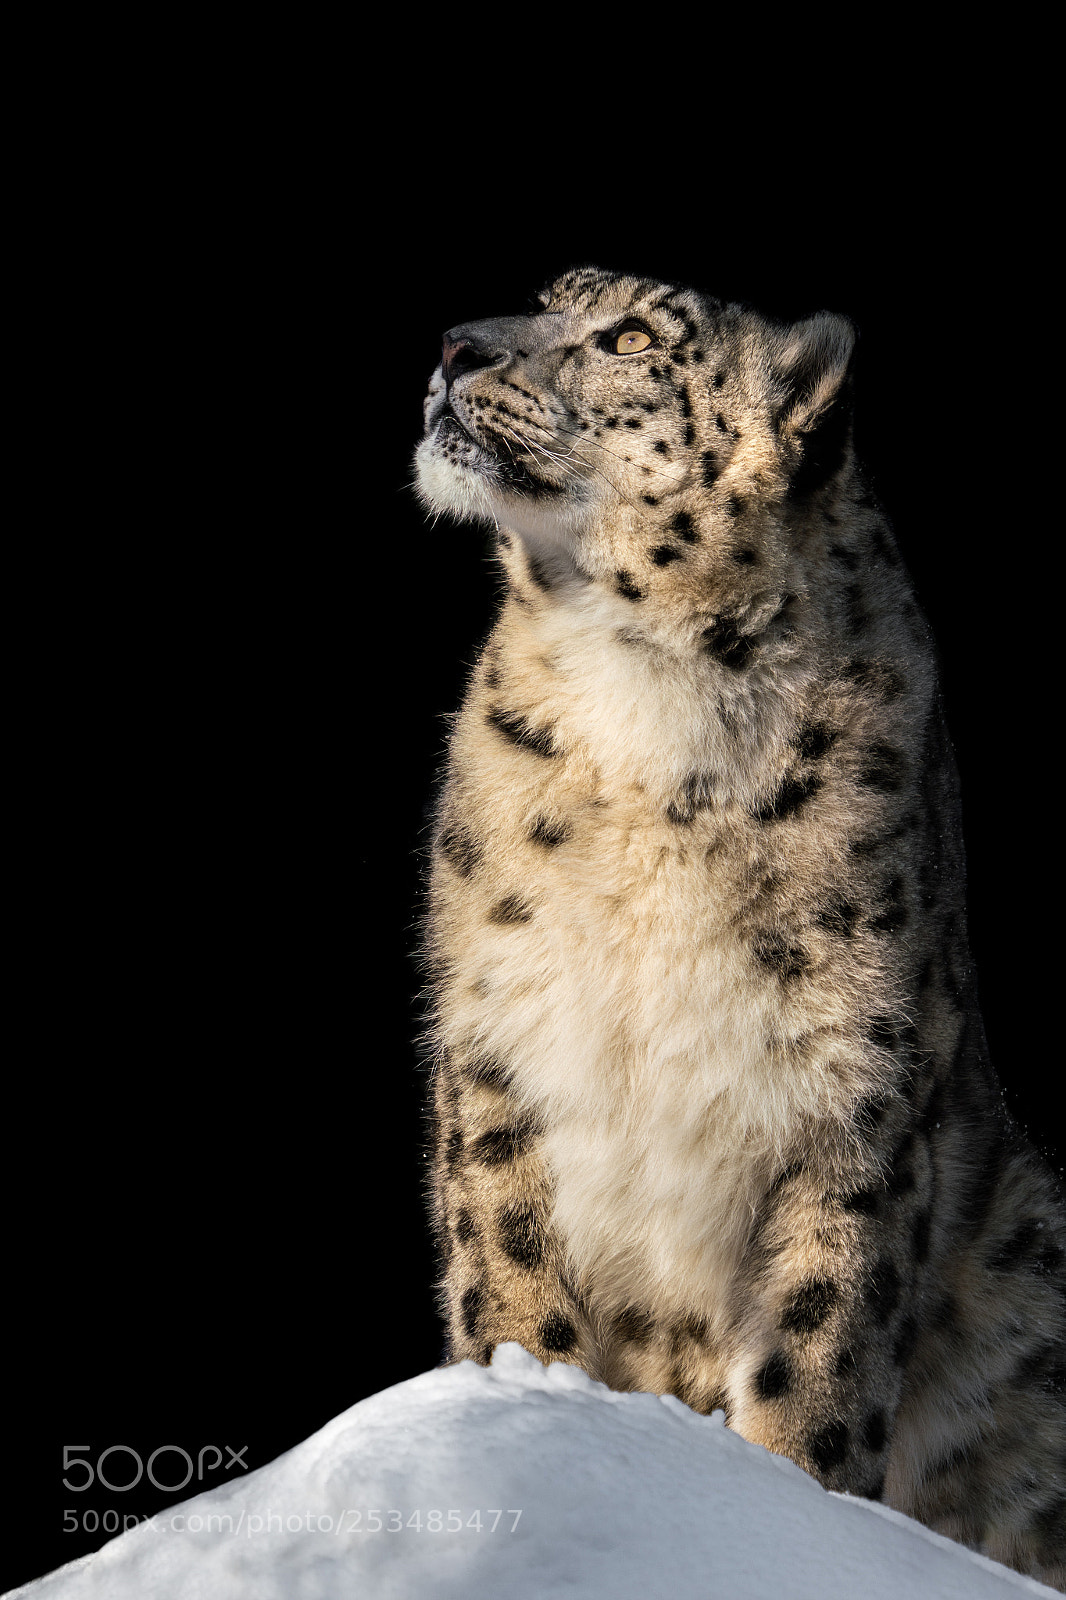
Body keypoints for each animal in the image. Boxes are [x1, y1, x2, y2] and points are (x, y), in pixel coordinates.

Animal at [413, 264, 1065, 1587]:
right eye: (547, 297)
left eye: (628, 338)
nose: (456, 347)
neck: (642, 699)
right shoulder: (498, 1039)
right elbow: (509, 1263)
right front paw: (529, 1400)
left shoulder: (852, 1084)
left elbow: (820, 1338)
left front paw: (794, 1507)